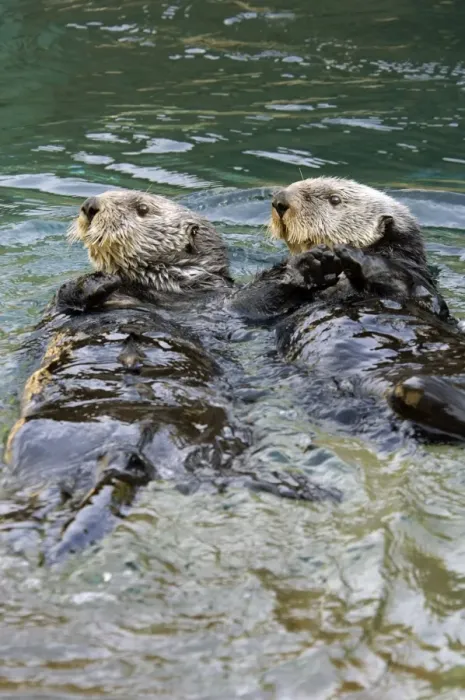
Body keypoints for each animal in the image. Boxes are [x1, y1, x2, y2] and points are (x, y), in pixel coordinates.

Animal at [4, 189, 336, 561]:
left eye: (142, 209)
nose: (90, 206)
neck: (155, 291)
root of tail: (129, 447)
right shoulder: (56, 307)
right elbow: (67, 297)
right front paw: (101, 279)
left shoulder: (221, 304)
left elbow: (251, 304)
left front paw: (309, 265)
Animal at [232, 177, 465, 443]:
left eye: (334, 199)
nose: (280, 200)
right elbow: (245, 303)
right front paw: (310, 263)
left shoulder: (421, 282)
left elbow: (427, 299)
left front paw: (352, 253)